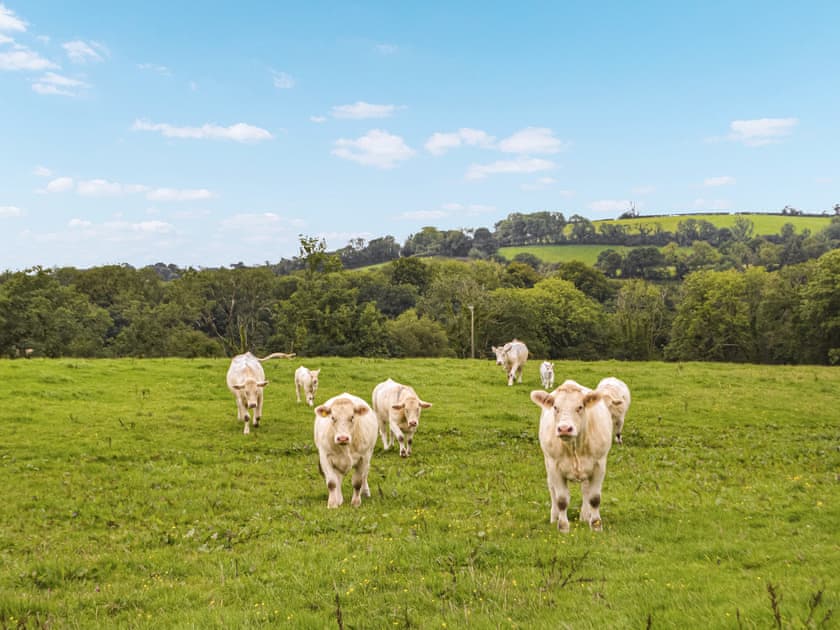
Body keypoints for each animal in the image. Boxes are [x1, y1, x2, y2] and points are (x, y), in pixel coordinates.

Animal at [536, 380, 612, 532]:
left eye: (580, 407)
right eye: (555, 407)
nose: (564, 428)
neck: (574, 446)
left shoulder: (599, 464)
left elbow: (594, 498)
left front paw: (596, 525)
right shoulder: (554, 466)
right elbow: (561, 499)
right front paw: (563, 527)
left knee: (585, 489)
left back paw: (585, 516)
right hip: (547, 463)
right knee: (552, 489)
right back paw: (554, 517)